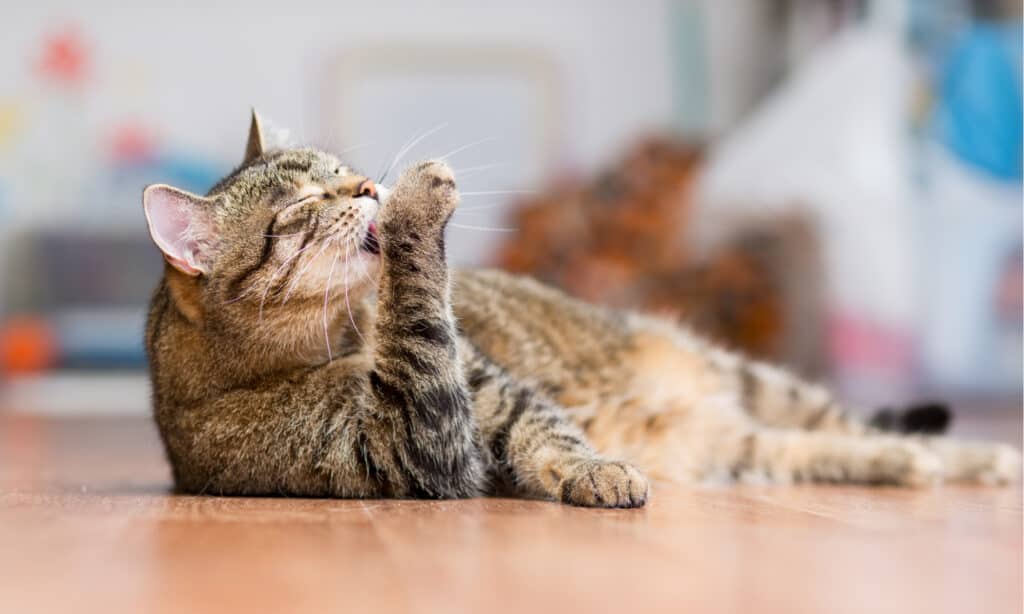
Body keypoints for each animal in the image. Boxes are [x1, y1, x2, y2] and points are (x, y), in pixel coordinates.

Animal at [142, 111, 1015, 507]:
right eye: (303, 205)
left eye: (342, 169)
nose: (367, 187)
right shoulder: (414, 440)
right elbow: (421, 324)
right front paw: (416, 210)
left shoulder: (493, 388)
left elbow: (551, 430)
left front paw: (596, 468)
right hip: (746, 445)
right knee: (820, 447)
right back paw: (914, 463)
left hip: (759, 383)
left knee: (854, 426)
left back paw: (974, 459)